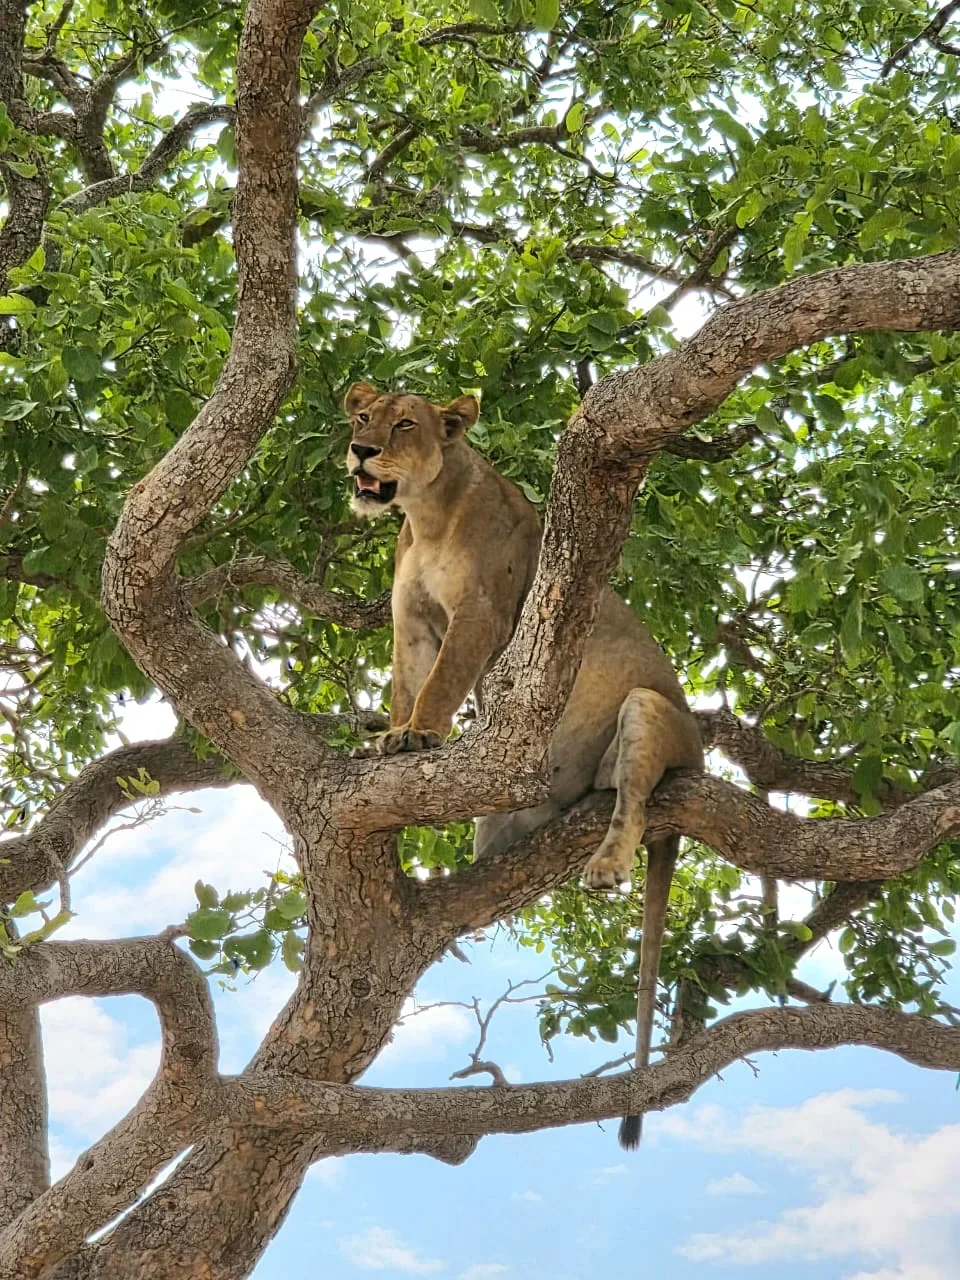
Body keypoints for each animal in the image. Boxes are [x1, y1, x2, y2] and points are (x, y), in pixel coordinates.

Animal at [344, 382, 703, 1147]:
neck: (426, 516)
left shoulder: (481, 616)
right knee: (500, 884)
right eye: (361, 416)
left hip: (648, 709)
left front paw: (419, 739)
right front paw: (390, 739)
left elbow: (441, 685)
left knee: (634, 801)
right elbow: (405, 686)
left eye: (404, 424)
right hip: (507, 826)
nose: (361, 449)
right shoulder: (410, 622)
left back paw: (606, 865)